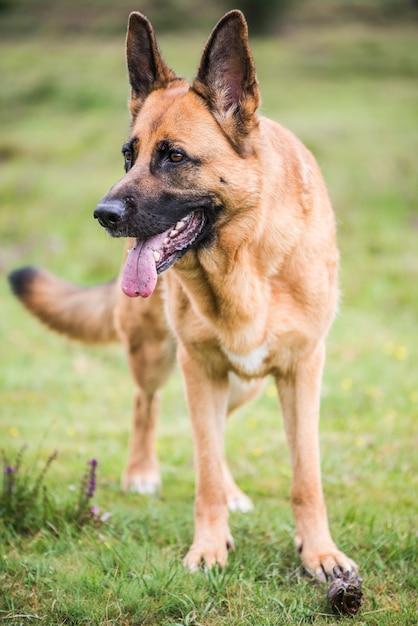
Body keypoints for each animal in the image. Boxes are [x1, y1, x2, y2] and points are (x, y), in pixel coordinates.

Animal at [9, 9, 356, 576]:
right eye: (128, 156)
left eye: (173, 157)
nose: (103, 215)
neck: (245, 261)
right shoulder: (200, 367)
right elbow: (204, 469)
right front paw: (209, 547)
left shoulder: (302, 369)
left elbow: (306, 476)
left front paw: (319, 552)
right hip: (157, 356)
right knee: (147, 405)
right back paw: (141, 472)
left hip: (243, 382)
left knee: (217, 429)